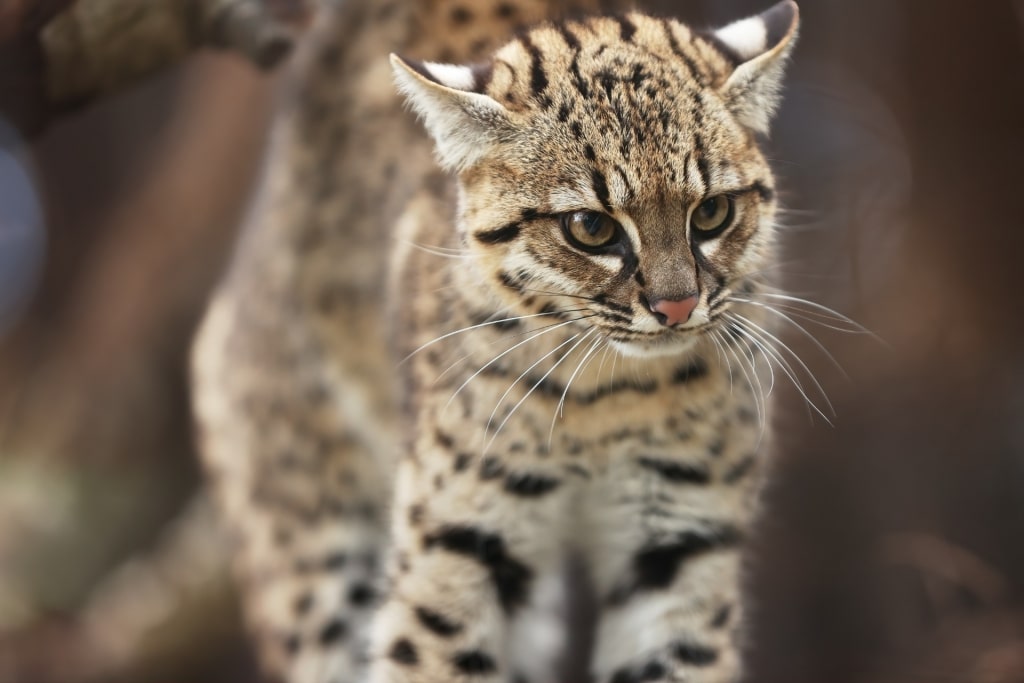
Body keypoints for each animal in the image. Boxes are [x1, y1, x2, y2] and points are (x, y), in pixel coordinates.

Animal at [190, 1, 798, 683]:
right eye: (591, 227)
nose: (677, 307)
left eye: (713, 213)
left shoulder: (685, 537)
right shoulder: (458, 533)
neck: (607, 395)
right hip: (311, 548)